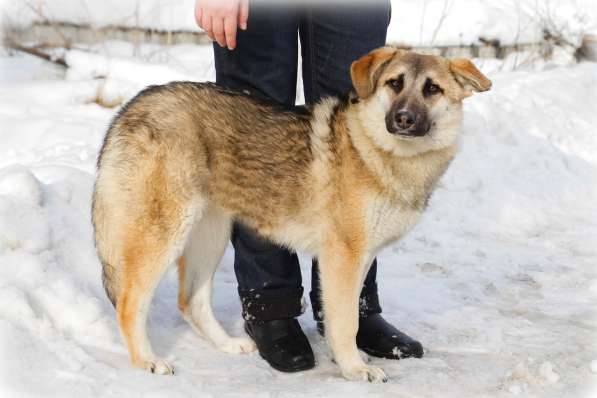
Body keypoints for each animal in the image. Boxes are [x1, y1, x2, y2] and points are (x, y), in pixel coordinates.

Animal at [92, 46, 488, 382]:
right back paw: (147, 361)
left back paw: (228, 345)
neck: (378, 151)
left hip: (210, 235)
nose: (403, 119)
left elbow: (346, 314)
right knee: (129, 304)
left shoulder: (360, 258)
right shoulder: (343, 257)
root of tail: (130, 108)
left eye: (433, 89)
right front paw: (355, 369)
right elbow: (346, 321)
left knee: (190, 300)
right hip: (165, 235)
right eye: (395, 83)